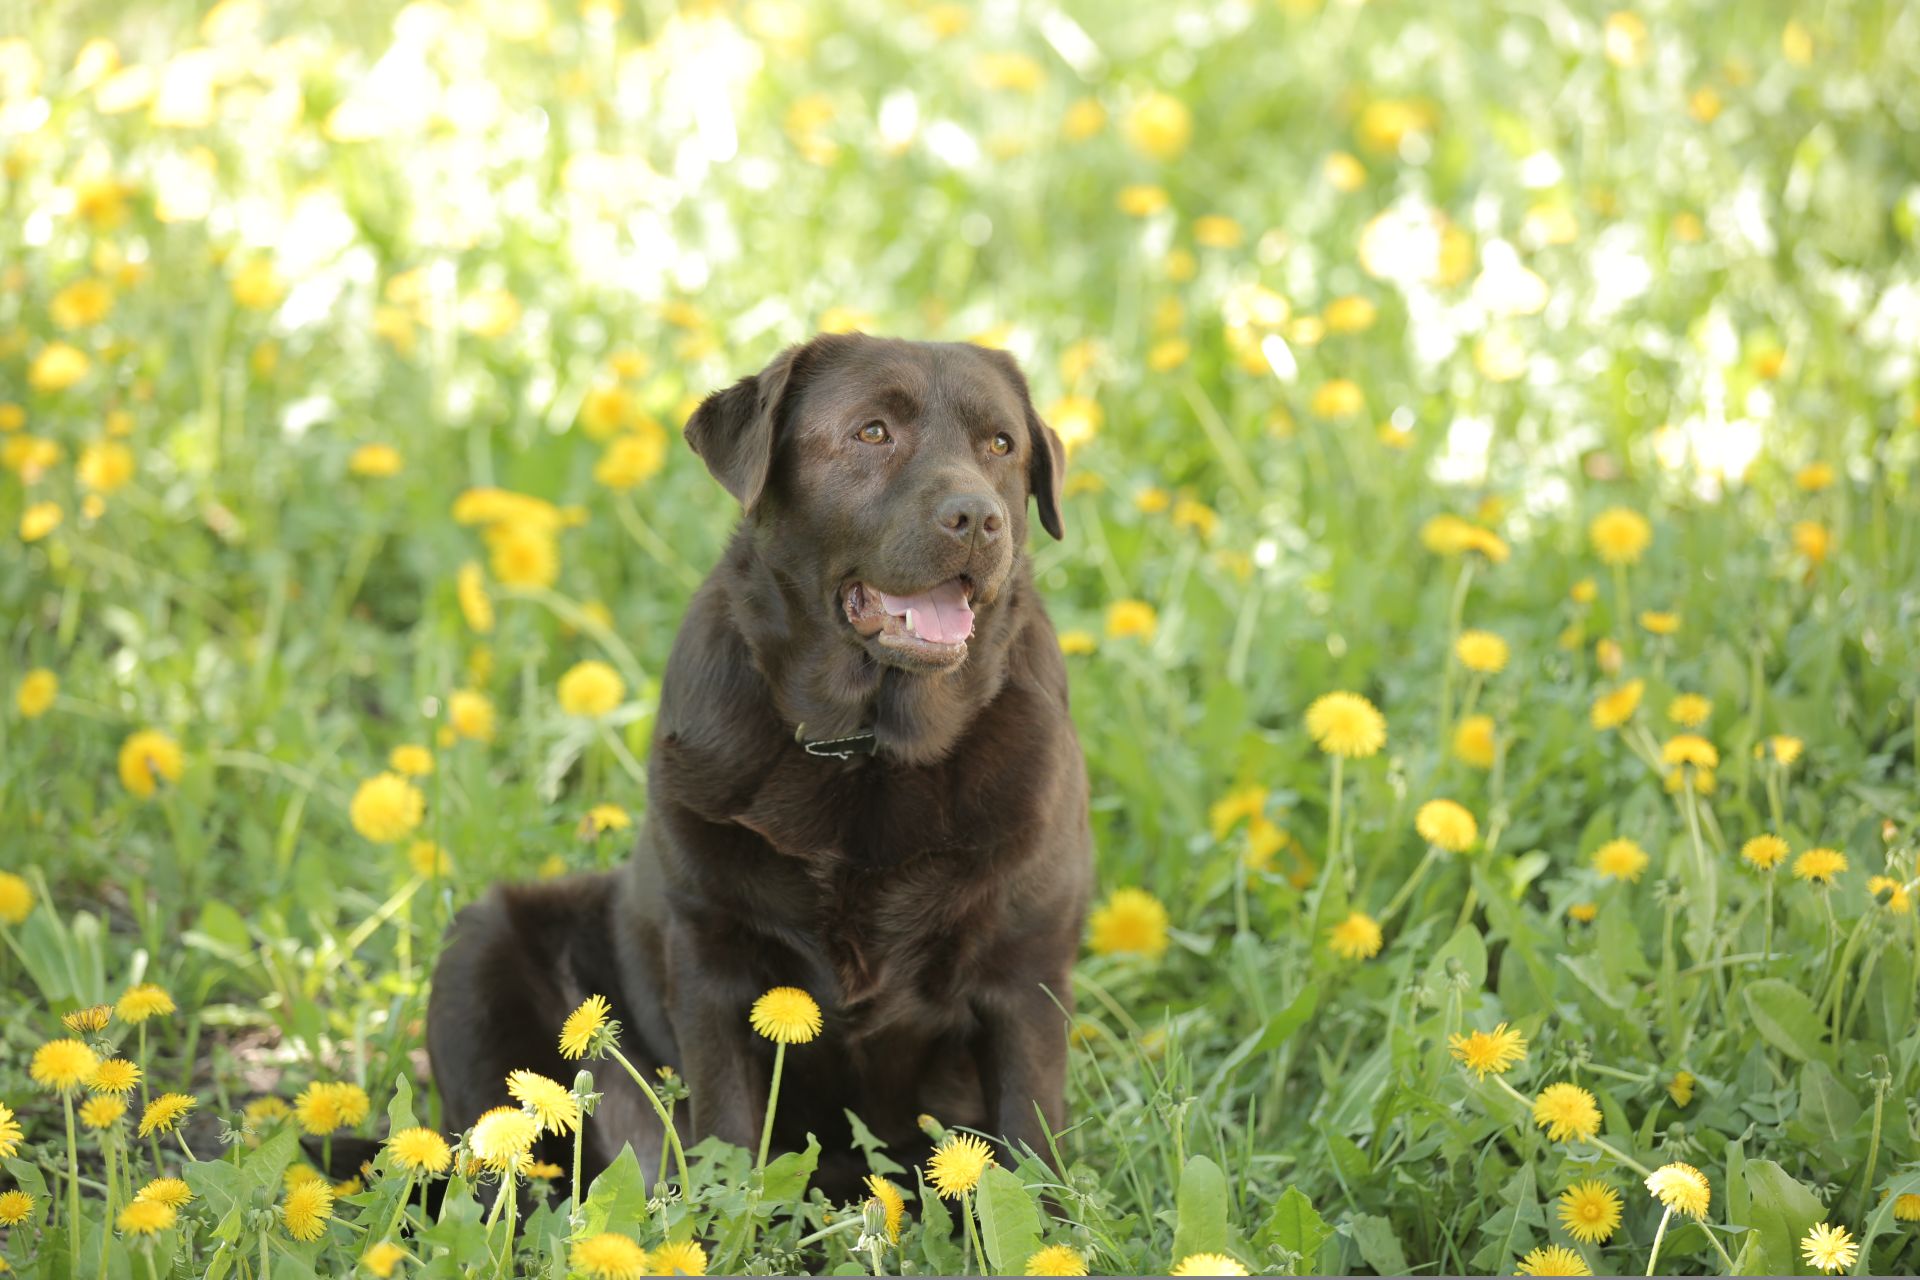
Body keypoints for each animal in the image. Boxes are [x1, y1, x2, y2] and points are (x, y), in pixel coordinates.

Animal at [428, 333, 1090, 1205]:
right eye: (872, 432)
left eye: (1002, 446)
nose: (977, 517)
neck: (867, 752)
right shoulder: (712, 962)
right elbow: (729, 1137)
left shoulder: (1027, 970)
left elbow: (1029, 1151)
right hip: (475, 951)